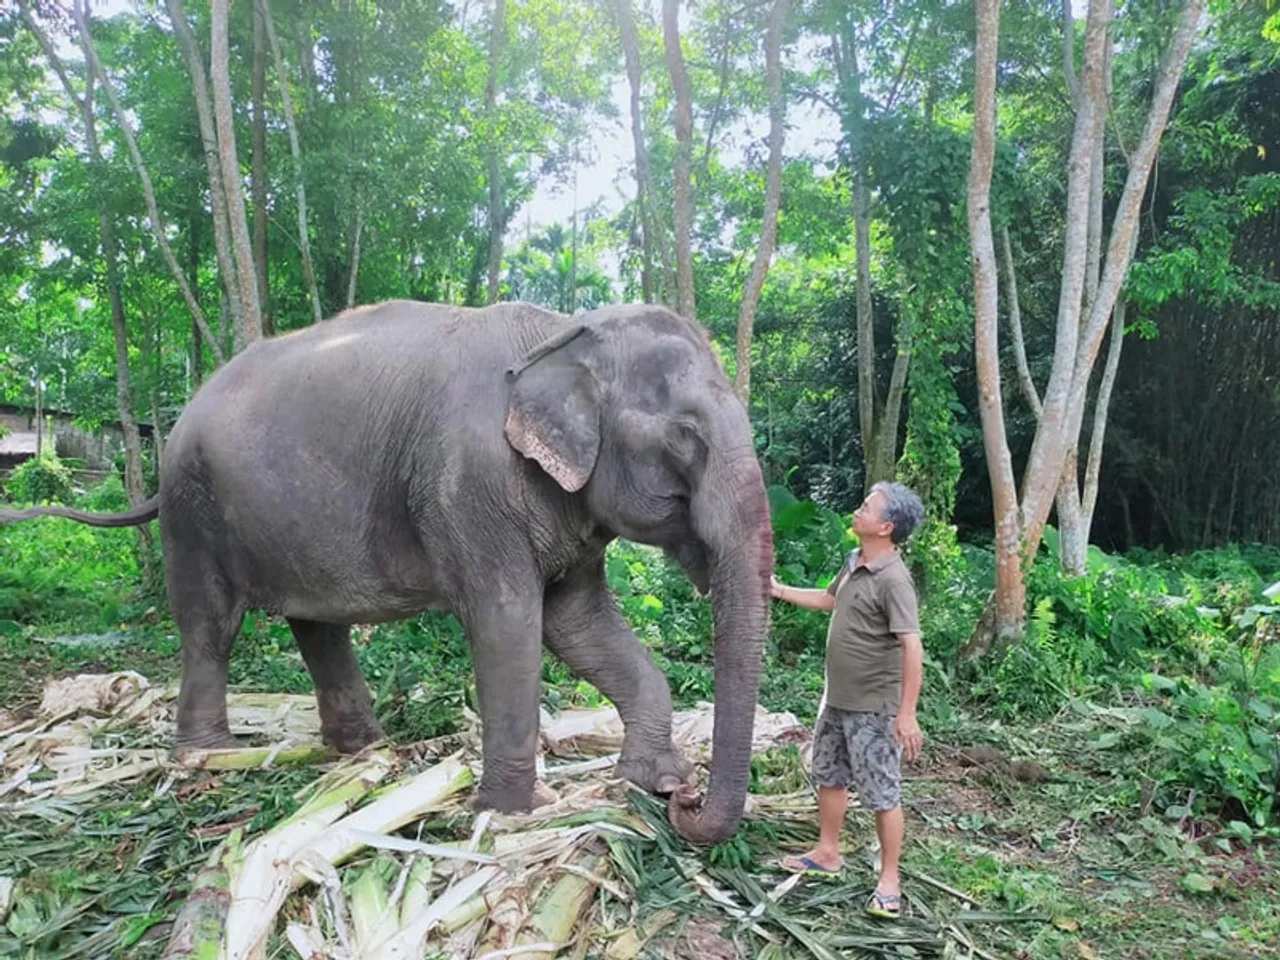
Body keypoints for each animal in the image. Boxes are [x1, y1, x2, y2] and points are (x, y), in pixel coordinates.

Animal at [2, 302, 768, 849]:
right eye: (686, 438)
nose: (690, 804)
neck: (561, 332)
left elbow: (580, 625)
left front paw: (647, 782)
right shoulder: (469, 489)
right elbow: (508, 625)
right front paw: (509, 815)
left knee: (316, 625)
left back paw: (363, 752)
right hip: (195, 510)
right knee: (211, 629)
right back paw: (212, 761)